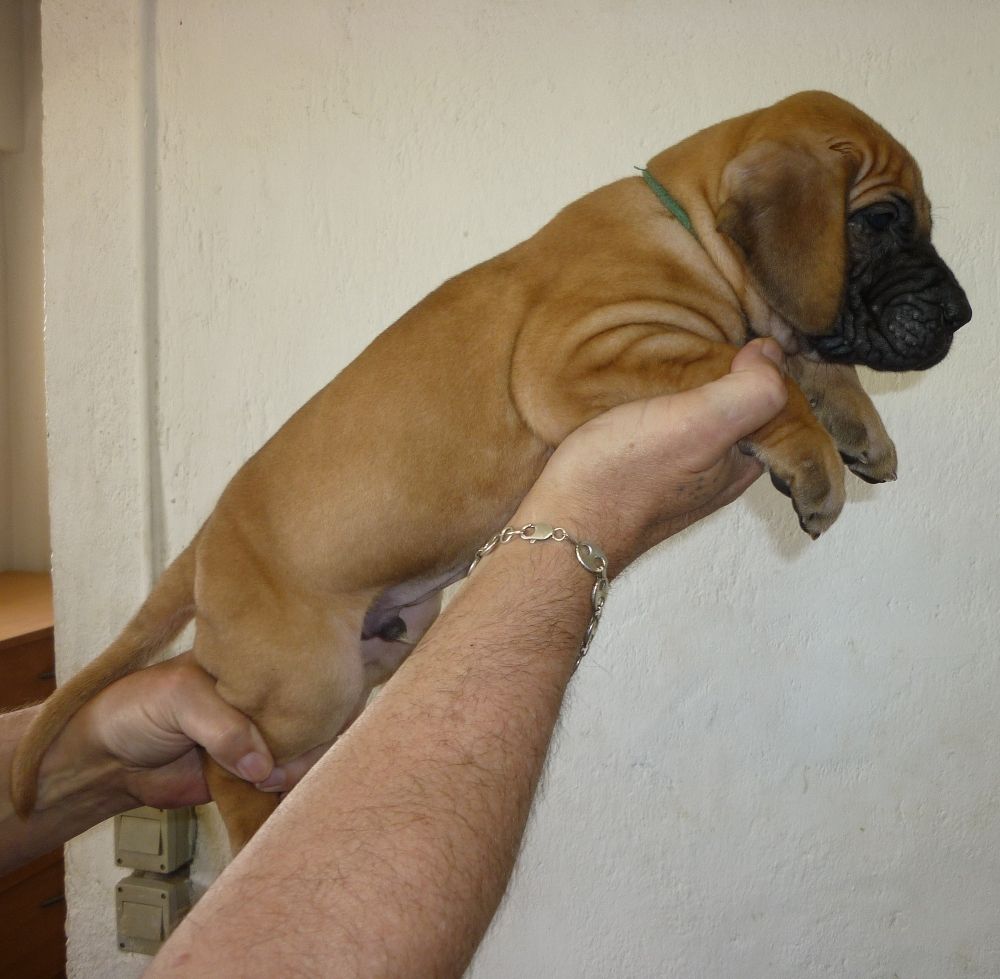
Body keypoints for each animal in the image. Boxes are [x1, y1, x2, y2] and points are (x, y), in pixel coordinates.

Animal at [12, 91, 971, 853]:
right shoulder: (581, 355)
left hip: (365, 663)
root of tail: (206, 541)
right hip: (304, 687)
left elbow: (809, 361)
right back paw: (254, 841)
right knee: (229, 765)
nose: (963, 313)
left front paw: (861, 425)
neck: (690, 229)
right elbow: (762, 377)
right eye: (879, 219)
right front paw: (813, 458)